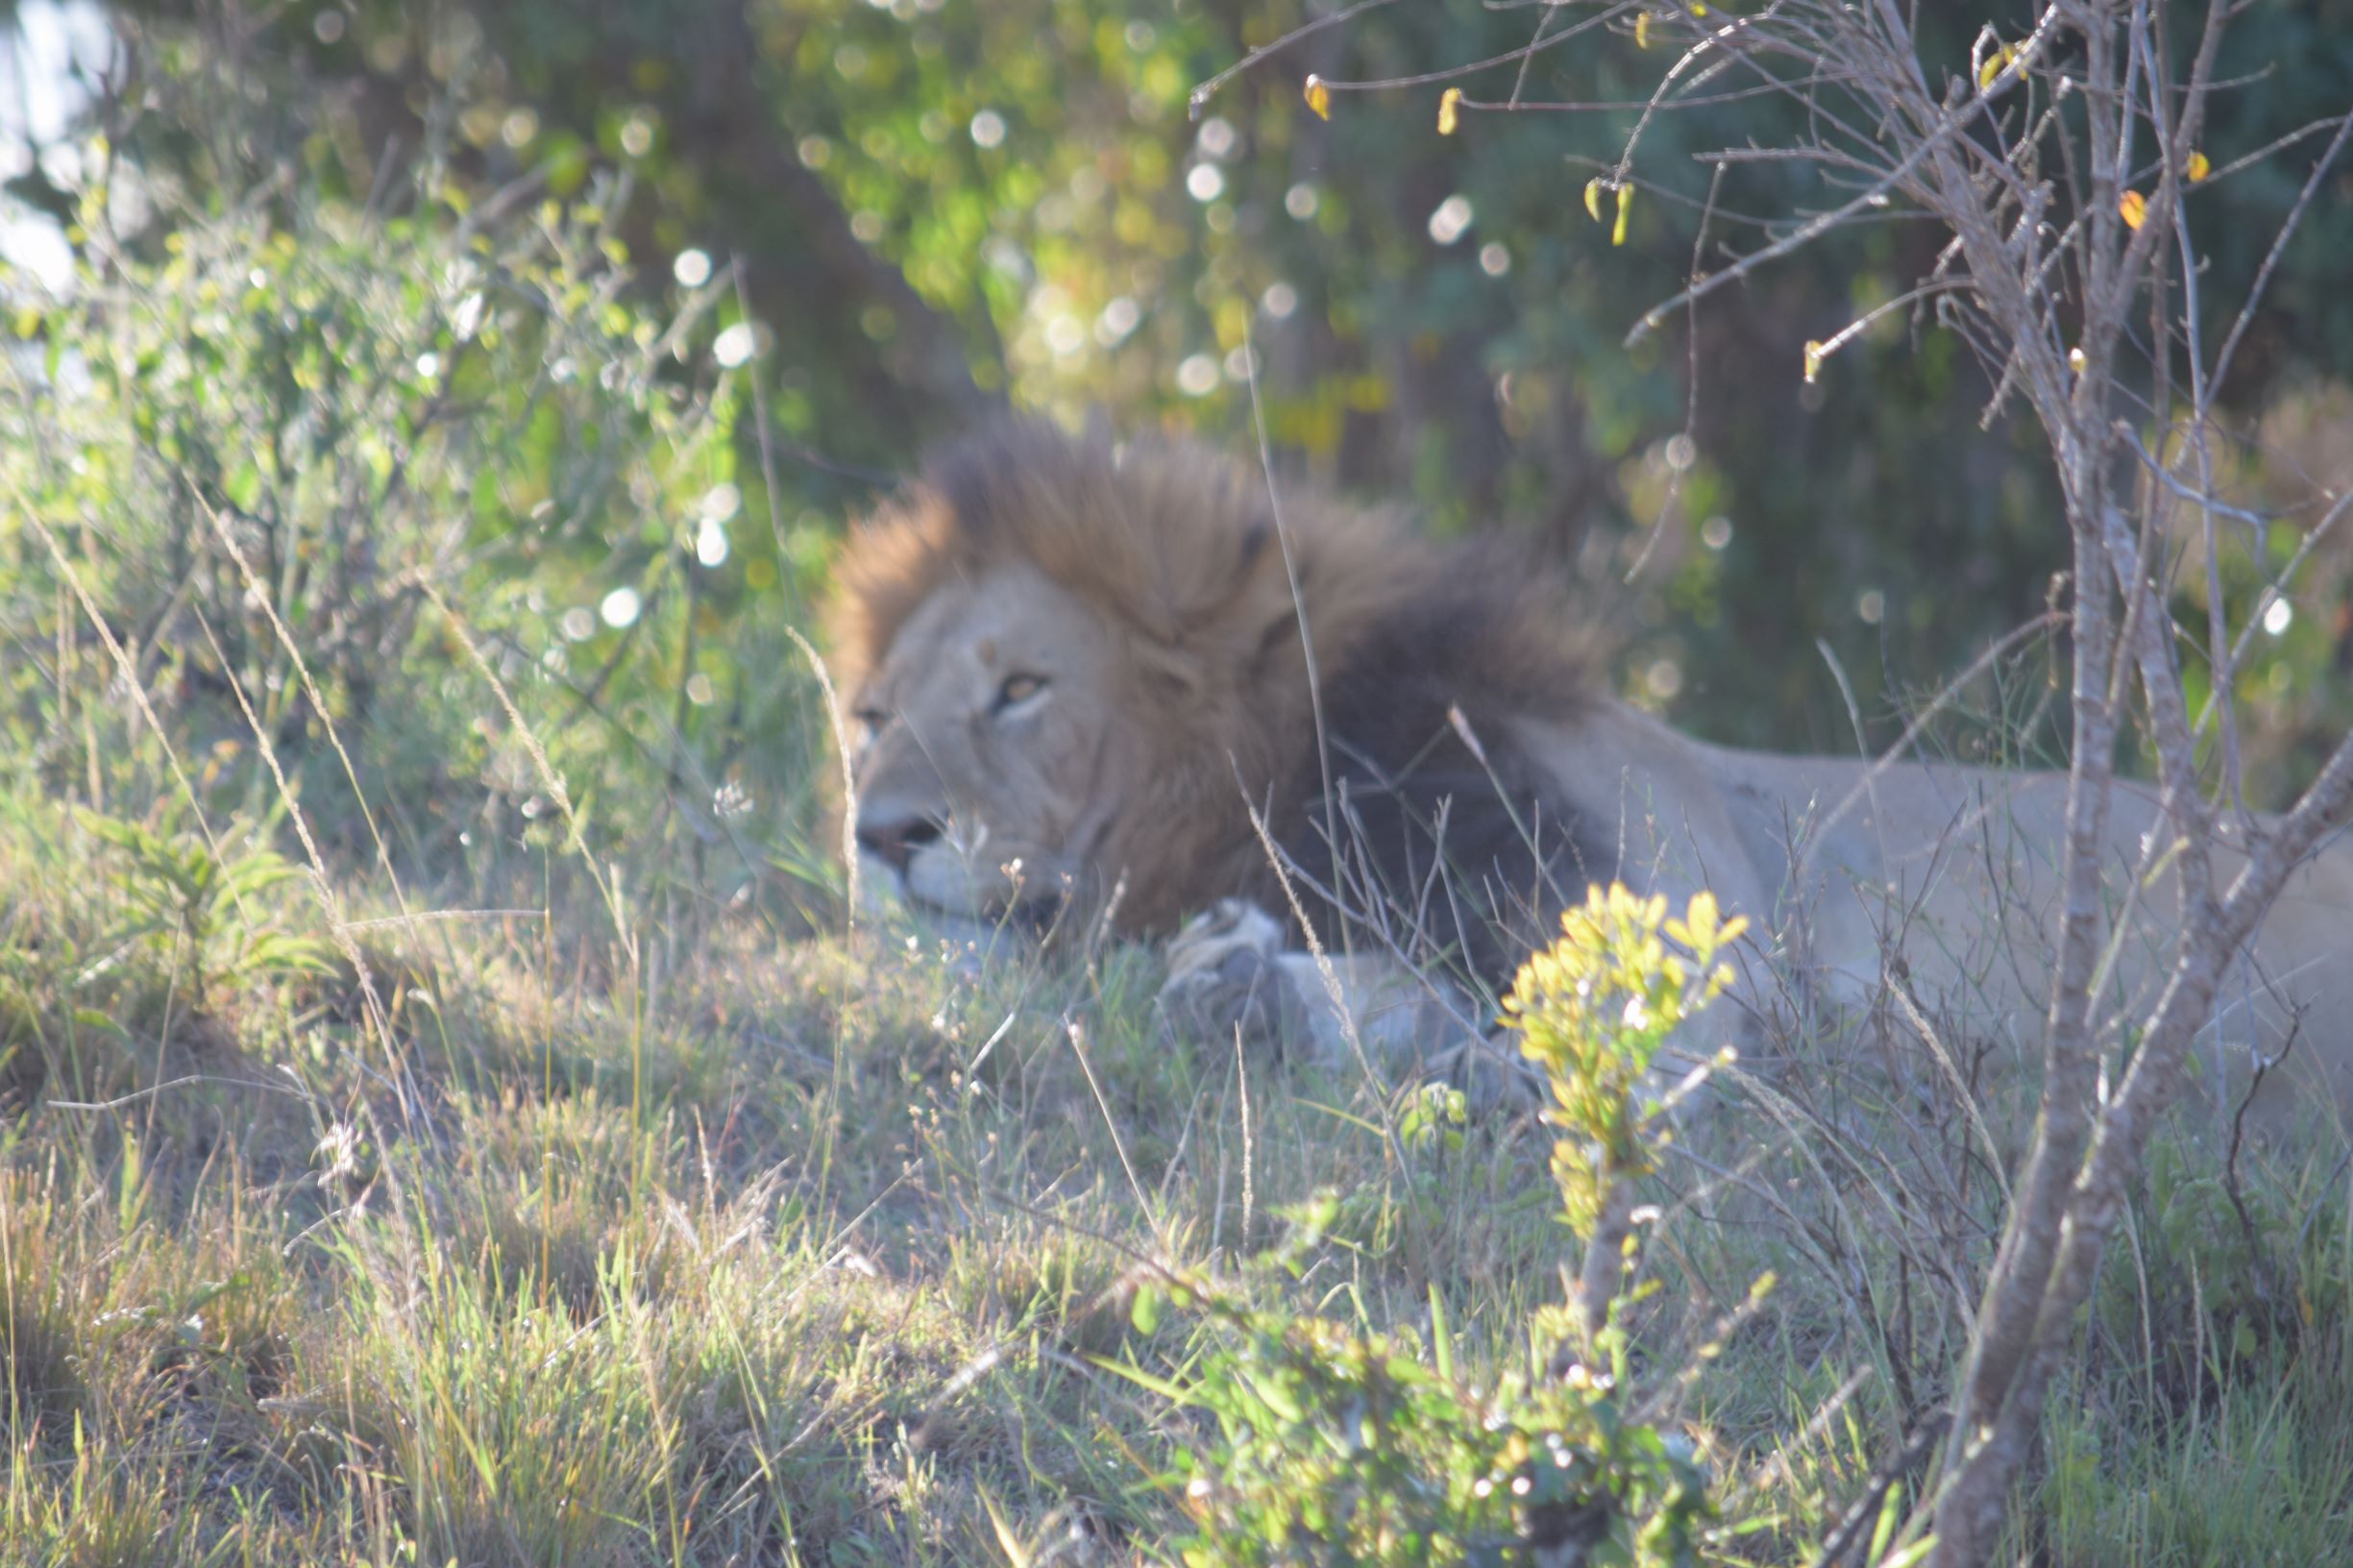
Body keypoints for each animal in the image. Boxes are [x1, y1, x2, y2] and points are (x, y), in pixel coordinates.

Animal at [828, 409, 2353, 1130]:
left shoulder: (1683, 911)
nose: (881, 835)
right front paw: (1246, 982)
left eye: (1020, 690)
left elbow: (1617, 1027)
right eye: (871, 715)